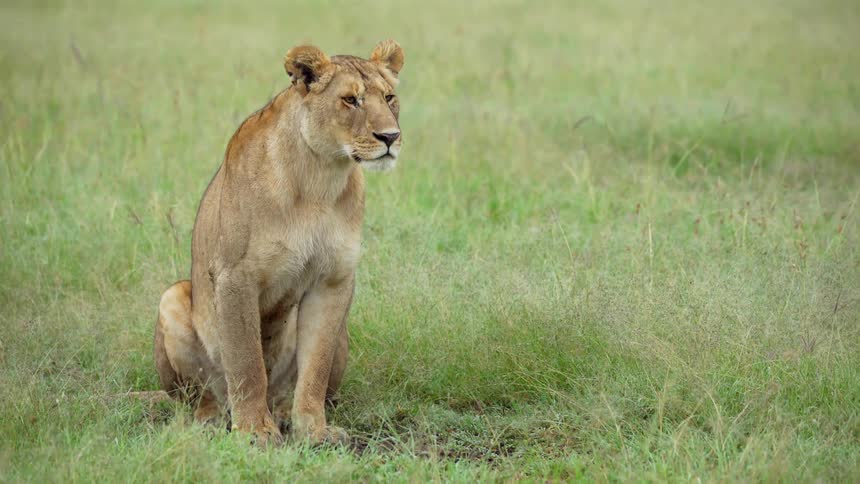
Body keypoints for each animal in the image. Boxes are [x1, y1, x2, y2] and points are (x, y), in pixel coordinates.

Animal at [153, 40, 404, 446]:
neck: (321, 177)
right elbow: (247, 362)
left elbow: (314, 368)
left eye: (389, 97)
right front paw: (254, 431)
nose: (391, 137)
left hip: (344, 333)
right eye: (351, 100)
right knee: (203, 397)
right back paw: (210, 421)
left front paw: (313, 430)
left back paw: (284, 412)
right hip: (173, 298)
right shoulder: (235, 276)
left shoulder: (333, 279)